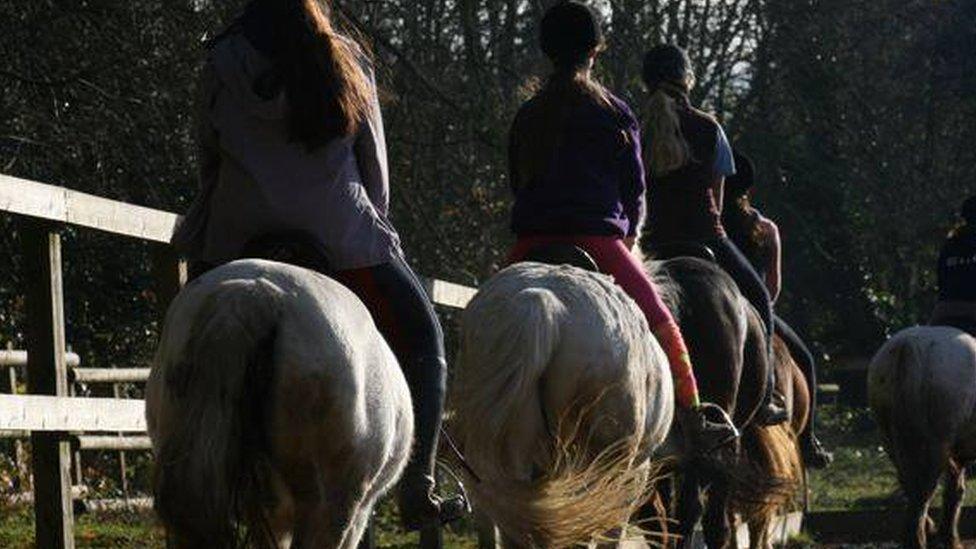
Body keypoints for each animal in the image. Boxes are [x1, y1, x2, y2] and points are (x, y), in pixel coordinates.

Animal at [868, 326, 976, 548]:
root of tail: (908, 346)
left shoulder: (957, 456)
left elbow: (955, 491)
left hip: (892, 442)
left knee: (914, 489)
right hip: (932, 447)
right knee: (922, 495)